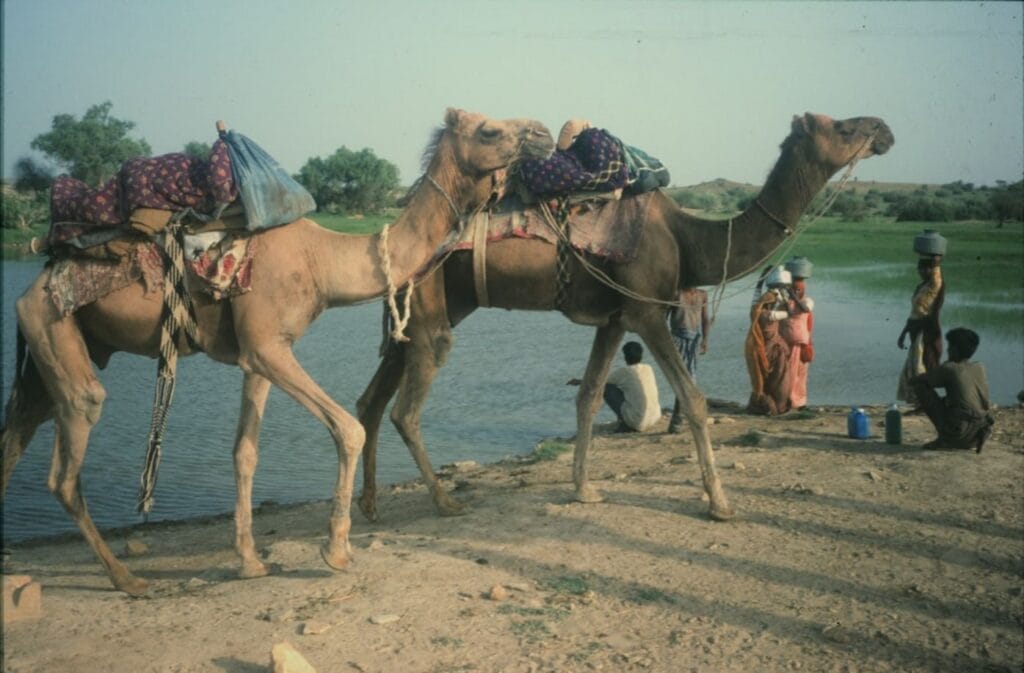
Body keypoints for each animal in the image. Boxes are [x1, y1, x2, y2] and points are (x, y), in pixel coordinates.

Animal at [0, 108, 555, 594]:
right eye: (489, 129)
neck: (323, 260)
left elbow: (245, 452)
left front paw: (249, 561)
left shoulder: (259, 353)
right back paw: (127, 580)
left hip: (55, 353)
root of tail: (33, 284)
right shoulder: (269, 348)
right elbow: (348, 429)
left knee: (16, 435)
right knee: (67, 459)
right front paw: (337, 551)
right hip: (54, 329)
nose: (544, 134)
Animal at [353, 113, 894, 522]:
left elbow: (589, 397)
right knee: (405, 410)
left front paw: (583, 490)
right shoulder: (647, 310)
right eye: (842, 127)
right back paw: (445, 502)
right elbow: (694, 400)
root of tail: (394, 229)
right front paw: (720, 504)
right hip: (432, 310)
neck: (687, 237)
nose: (883, 129)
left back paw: (371, 505)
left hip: (420, 315)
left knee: (370, 401)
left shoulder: (614, 319)